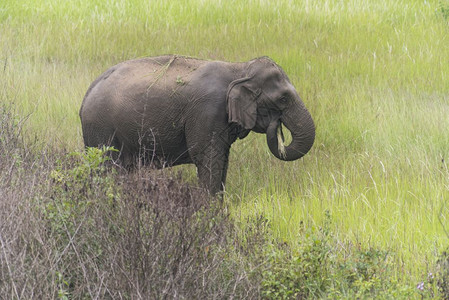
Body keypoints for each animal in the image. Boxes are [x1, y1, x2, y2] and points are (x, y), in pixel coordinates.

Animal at [79, 54, 314, 195]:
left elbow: (222, 161)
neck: (239, 68)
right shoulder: (207, 112)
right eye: (283, 99)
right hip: (102, 130)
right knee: (108, 170)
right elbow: (208, 160)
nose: (277, 124)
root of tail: (87, 93)